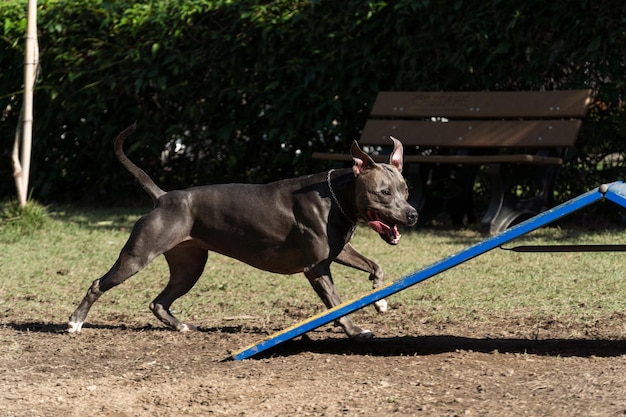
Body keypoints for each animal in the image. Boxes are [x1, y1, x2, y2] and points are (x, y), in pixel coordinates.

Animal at [68, 123, 416, 338]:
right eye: (384, 192)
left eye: (405, 189)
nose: (412, 215)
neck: (337, 196)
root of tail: (163, 197)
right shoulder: (316, 268)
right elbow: (337, 304)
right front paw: (356, 330)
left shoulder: (339, 251)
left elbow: (376, 266)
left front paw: (379, 300)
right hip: (139, 255)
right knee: (99, 284)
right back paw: (75, 322)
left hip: (189, 265)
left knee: (159, 302)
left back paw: (180, 327)